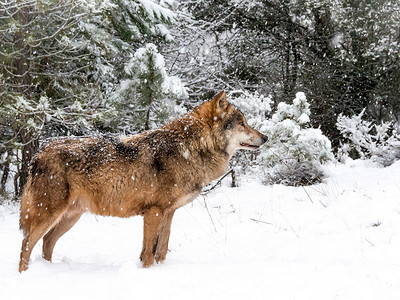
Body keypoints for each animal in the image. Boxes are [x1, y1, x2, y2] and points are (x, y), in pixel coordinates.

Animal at [19, 91, 268, 272]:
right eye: (242, 123)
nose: (265, 137)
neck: (188, 149)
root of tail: (39, 153)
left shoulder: (169, 213)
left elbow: (162, 250)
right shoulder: (153, 211)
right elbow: (148, 253)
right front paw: (148, 273)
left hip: (70, 217)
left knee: (46, 242)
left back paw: (49, 271)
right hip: (49, 214)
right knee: (26, 244)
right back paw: (26, 274)